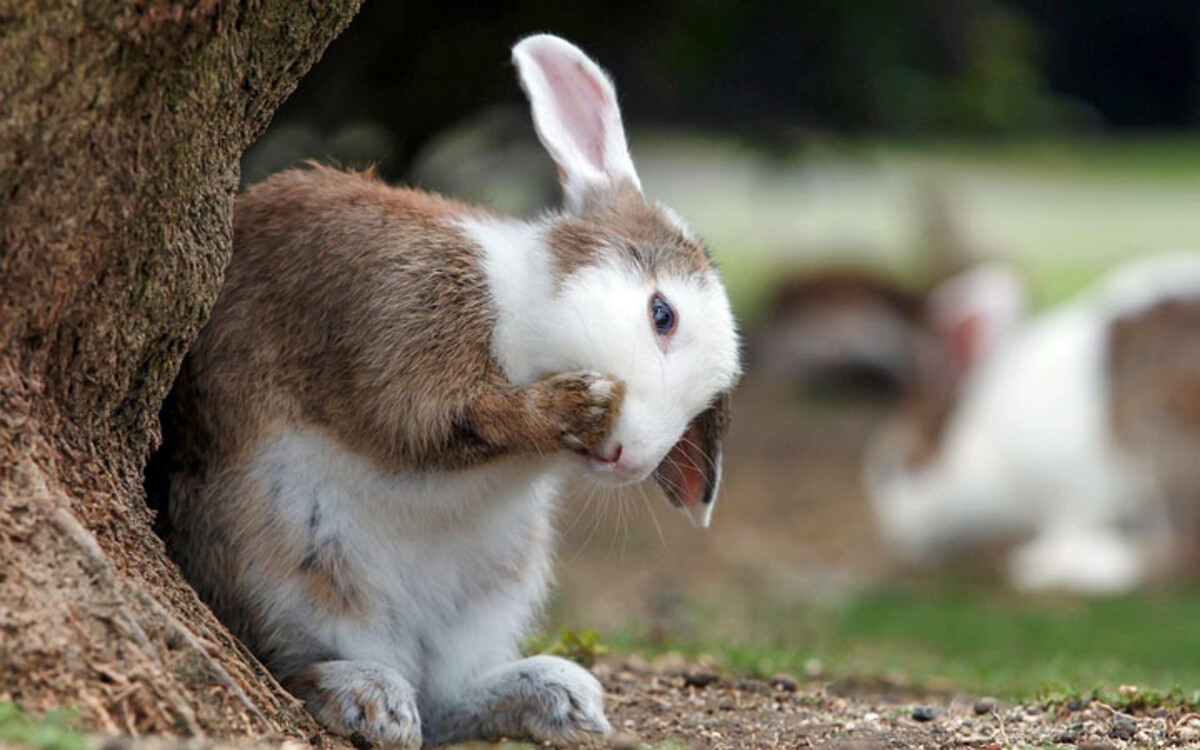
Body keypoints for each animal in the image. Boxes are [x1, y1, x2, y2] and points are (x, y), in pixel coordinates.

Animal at [157, 34, 741, 748]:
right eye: (662, 315)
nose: (627, 458)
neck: (521, 306)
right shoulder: (404, 335)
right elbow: (442, 422)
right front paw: (580, 402)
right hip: (293, 562)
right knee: (301, 663)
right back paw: (369, 701)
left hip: (492, 588)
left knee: (444, 697)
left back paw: (559, 698)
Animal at [864, 252, 1200, 594]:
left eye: (887, 468)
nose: (893, 539)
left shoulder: (1079, 493)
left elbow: (1071, 528)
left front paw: (1040, 561)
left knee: (1177, 555)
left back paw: (1051, 564)